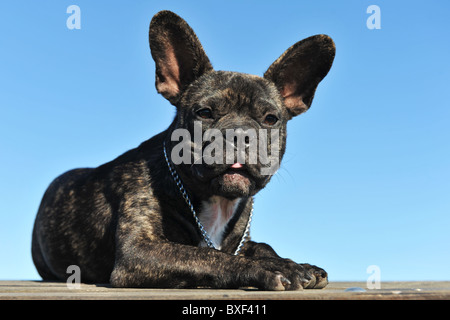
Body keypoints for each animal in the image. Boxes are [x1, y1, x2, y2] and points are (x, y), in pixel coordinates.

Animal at [30, 10, 334, 290]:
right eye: (204, 113)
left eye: (270, 119)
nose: (239, 134)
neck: (217, 201)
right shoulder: (140, 251)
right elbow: (210, 257)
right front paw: (268, 268)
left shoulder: (239, 241)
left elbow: (262, 246)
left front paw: (294, 263)